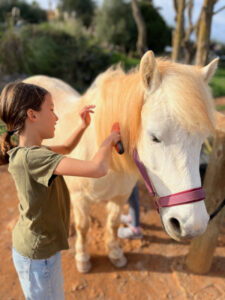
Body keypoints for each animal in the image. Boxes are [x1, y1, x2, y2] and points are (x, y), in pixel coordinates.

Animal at [24, 51, 218, 272]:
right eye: (154, 137)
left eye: (201, 140)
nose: (193, 226)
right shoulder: (81, 198)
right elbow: (83, 227)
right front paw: (82, 258)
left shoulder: (120, 196)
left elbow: (113, 223)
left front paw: (115, 253)